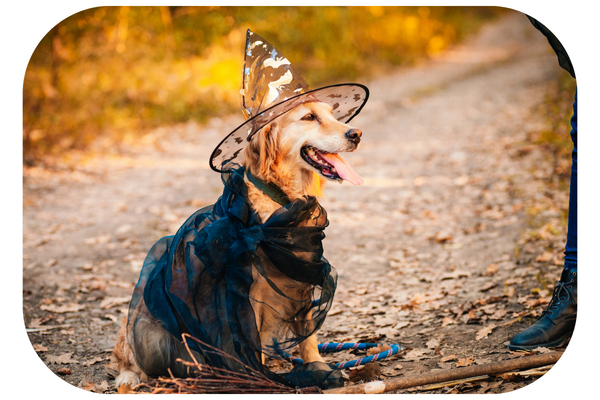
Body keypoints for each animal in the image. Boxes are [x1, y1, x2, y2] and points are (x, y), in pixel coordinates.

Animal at [113, 99, 366, 388]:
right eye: (309, 117)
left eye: (332, 114)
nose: (356, 134)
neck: (282, 201)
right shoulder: (247, 296)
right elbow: (251, 345)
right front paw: (261, 380)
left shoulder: (301, 280)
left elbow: (309, 339)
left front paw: (318, 369)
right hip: (146, 328)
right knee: (129, 360)